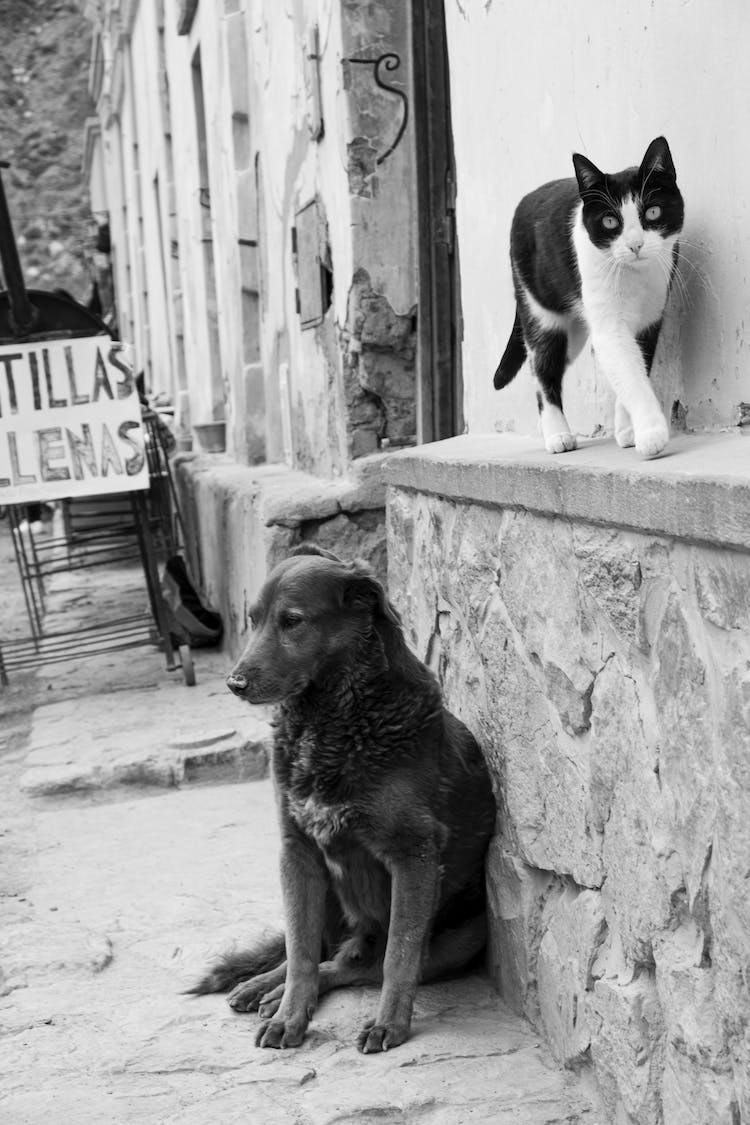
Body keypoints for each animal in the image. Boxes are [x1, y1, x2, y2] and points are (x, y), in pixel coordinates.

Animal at [191, 544, 499, 1053]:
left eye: (292, 620)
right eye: (253, 619)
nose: (234, 684)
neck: (332, 722)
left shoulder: (414, 856)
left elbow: (399, 956)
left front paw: (389, 1025)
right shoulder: (296, 851)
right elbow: (299, 949)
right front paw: (290, 1015)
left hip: (463, 937)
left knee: (350, 964)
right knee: (315, 951)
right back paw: (264, 987)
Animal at [494, 136, 683, 456]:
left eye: (653, 212)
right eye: (609, 222)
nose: (635, 245)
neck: (634, 275)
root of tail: (525, 199)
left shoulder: (651, 315)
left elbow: (635, 366)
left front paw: (628, 430)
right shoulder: (608, 325)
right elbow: (628, 370)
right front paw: (651, 433)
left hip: (575, 330)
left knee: (549, 363)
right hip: (539, 308)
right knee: (542, 366)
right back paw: (557, 434)